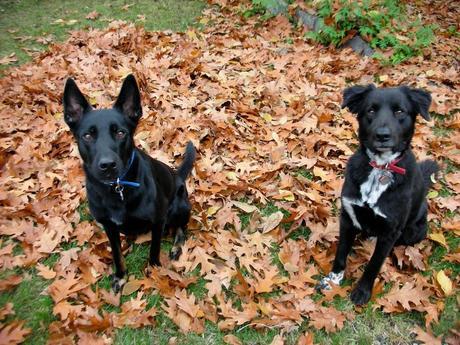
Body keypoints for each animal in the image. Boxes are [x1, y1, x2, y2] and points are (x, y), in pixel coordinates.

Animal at [63, 74, 196, 290]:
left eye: (120, 133)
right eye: (88, 135)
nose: (107, 165)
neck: (117, 191)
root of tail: (177, 175)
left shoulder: (158, 220)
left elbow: (154, 249)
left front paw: (155, 270)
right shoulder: (109, 226)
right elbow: (117, 254)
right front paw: (120, 275)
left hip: (179, 207)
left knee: (181, 228)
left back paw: (177, 247)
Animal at [318, 83, 440, 304]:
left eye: (400, 111)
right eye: (371, 110)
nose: (382, 135)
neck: (380, 168)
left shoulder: (390, 232)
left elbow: (374, 264)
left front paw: (362, 291)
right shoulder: (347, 217)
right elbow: (341, 253)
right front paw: (332, 280)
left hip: (413, 232)